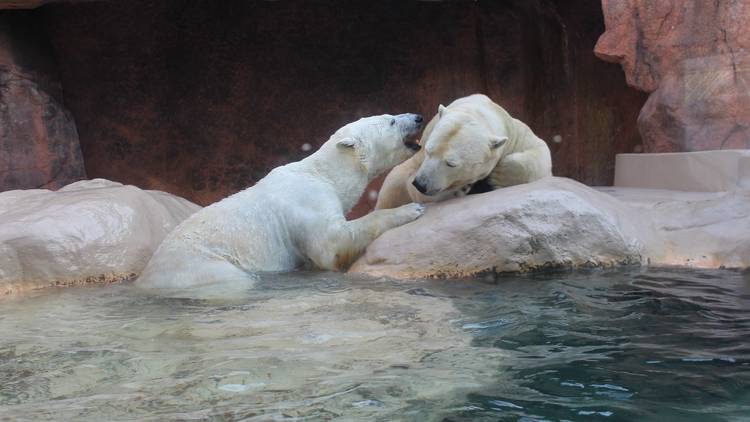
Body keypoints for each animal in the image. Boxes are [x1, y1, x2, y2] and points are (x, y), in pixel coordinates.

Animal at [137, 113, 426, 288]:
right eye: (390, 120)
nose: (417, 117)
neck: (322, 174)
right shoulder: (309, 204)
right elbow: (331, 245)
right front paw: (410, 209)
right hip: (201, 266)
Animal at [376, 94, 552, 209]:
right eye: (428, 150)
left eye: (451, 163)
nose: (421, 184)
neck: (476, 111)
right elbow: (407, 181)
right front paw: (459, 190)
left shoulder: (513, 132)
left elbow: (540, 148)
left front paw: (498, 174)